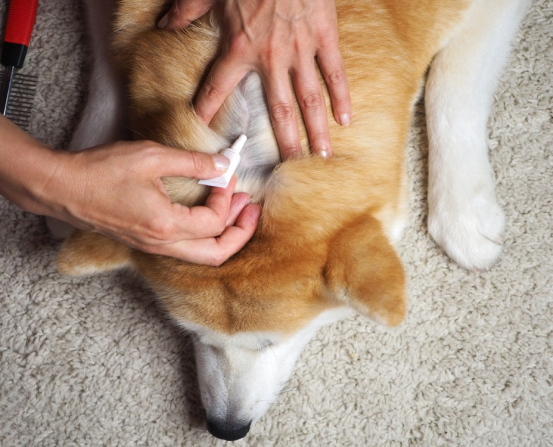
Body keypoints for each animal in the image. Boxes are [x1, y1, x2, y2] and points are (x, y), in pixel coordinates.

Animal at [54, 0, 528, 440]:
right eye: (192, 333)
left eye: (271, 342)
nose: (226, 429)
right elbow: (107, 72)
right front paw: (92, 175)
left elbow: (451, 87)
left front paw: (465, 214)